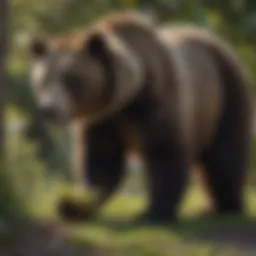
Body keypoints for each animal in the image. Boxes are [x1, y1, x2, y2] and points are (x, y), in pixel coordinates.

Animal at [28, 11, 252, 223]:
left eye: (71, 79)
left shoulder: (158, 103)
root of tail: (217, 41)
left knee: (225, 155)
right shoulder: (103, 120)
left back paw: (226, 206)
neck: (129, 96)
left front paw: (154, 212)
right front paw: (72, 205)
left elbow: (165, 154)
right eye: (43, 79)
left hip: (224, 92)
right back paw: (211, 206)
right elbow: (100, 161)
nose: (48, 109)